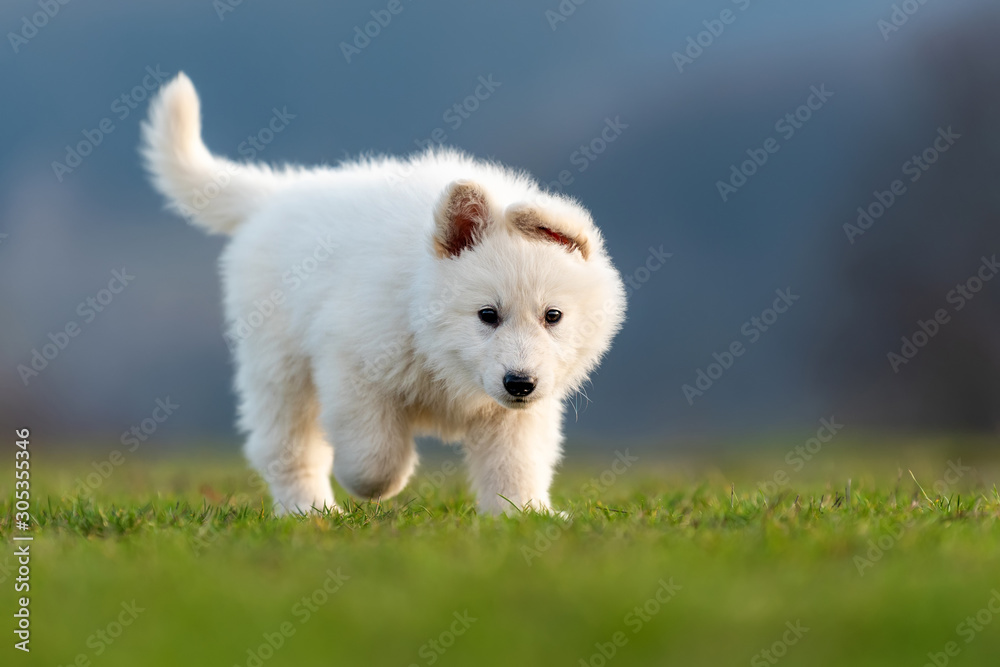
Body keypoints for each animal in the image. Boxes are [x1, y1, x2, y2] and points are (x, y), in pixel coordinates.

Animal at [143, 73, 624, 516]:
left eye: (553, 316)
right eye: (487, 314)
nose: (520, 383)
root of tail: (278, 194)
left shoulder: (515, 413)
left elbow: (515, 465)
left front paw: (523, 514)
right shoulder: (352, 365)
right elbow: (374, 456)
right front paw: (379, 484)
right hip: (279, 366)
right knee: (289, 448)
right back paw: (309, 512)